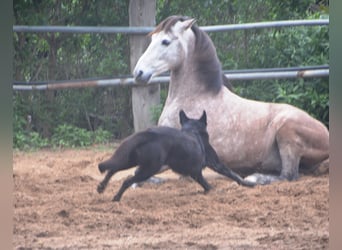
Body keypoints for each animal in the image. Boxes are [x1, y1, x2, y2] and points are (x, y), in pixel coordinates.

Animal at [96, 109, 254, 201]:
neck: (193, 131)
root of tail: (146, 134)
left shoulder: (195, 172)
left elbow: (208, 183)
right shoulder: (212, 165)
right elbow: (231, 174)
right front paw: (247, 184)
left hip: (130, 160)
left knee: (112, 168)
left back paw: (102, 187)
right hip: (149, 168)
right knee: (126, 180)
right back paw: (116, 197)